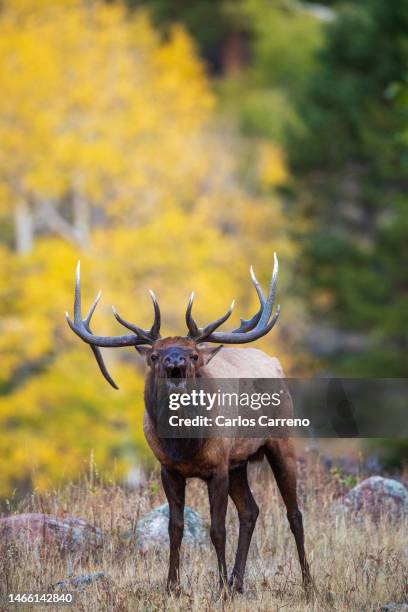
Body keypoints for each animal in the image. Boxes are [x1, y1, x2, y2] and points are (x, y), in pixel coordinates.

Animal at [65, 256, 310, 596]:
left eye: (193, 354)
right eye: (154, 356)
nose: (175, 362)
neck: (185, 445)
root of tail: (275, 362)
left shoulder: (218, 466)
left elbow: (217, 529)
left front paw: (220, 590)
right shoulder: (169, 469)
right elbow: (175, 527)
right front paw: (172, 586)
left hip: (281, 440)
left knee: (294, 513)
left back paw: (307, 583)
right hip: (239, 462)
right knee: (250, 511)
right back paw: (238, 582)